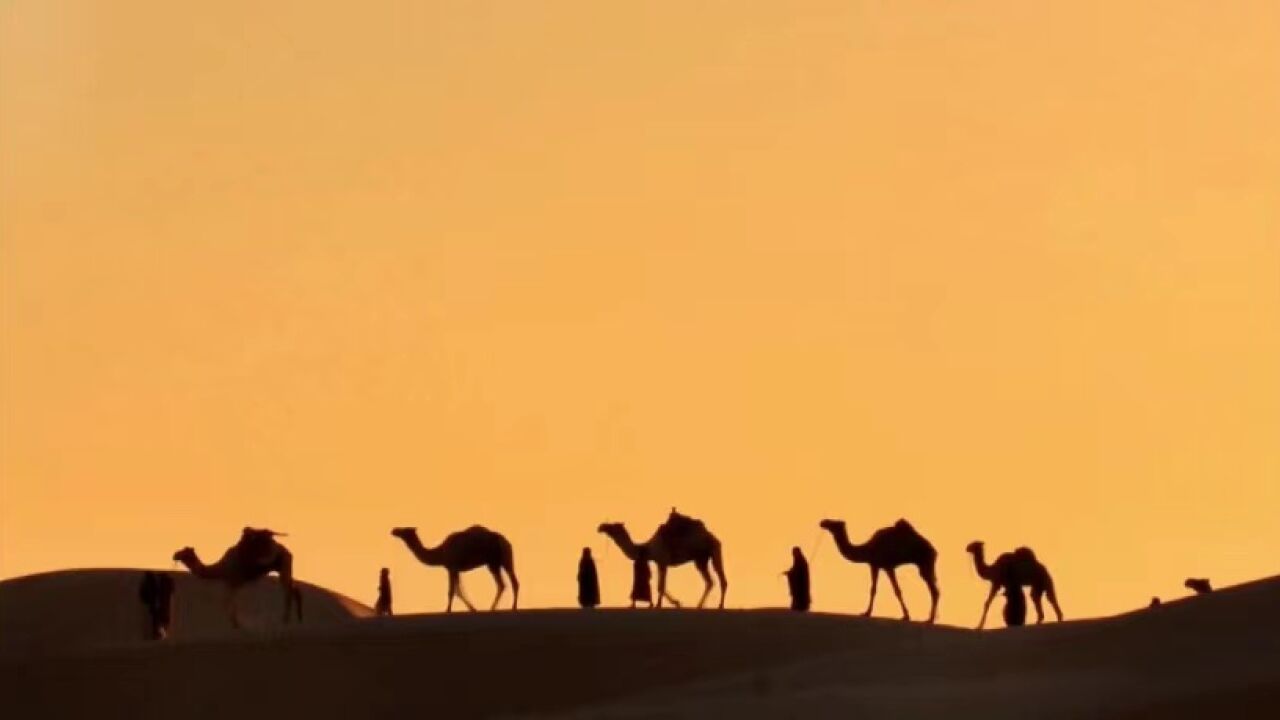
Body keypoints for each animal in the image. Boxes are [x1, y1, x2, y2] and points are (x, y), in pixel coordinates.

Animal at [172, 525, 302, 625]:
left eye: (184, 552)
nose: (174, 555)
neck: (221, 568)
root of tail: (288, 552)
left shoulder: (233, 581)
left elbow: (228, 601)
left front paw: (235, 623)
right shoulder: (233, 583)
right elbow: (229, 601)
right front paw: (234, 622)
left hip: (284, 565)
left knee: (288, 591)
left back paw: (286, 620)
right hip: (285, 566)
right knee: (293, 589)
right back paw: (297, 619)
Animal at [386, 525, 517, 607]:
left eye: (405, 530)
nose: (394, 530)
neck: (441, 552)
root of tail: (505, 541)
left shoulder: (451, 567)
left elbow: (451, 592)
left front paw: (447, 610)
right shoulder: (456, 569)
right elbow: (458, 591)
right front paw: (473, 609)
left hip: (498, 560)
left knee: (509, 583)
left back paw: (509, 607)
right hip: (497, 562)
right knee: (505, 584)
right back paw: (497, 608)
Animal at [593, 507, 727, 607]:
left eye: (613, 526)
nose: (600, 527)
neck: (646, 548)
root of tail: (712, 536)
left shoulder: (663, 561)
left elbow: (661, 586)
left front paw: (662, 604)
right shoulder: (659, 563)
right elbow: (660, 586)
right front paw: (675, 603)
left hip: (714, 551)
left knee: (721, 579)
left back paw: (720, 605)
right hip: (700, 559)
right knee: (709, 582)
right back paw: (699, 605)